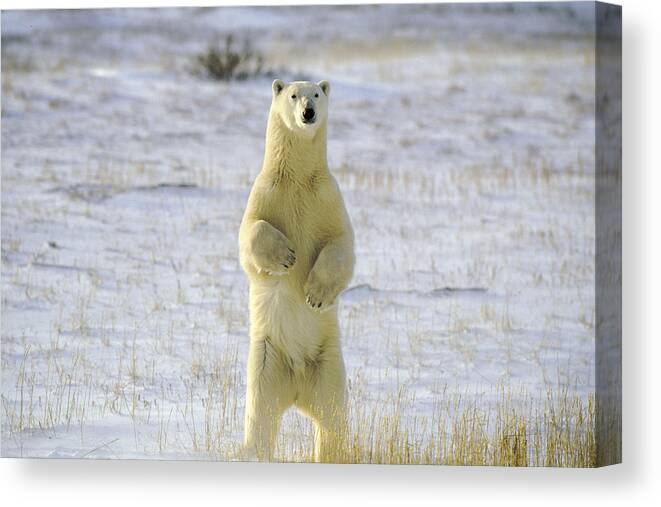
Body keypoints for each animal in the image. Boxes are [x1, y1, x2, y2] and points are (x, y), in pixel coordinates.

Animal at [238, 77, 356, 462]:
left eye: (316, 94)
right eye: (293, 95)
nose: (309, 113)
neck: (298, 179)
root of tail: (297, 389)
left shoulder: (328, 197)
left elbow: (342, 244)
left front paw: (315, 295)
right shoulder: (266, 192)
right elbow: (250, 233)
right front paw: (287, 256)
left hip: (328, 364)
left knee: (332, 418)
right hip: (267, 362)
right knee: (260, 416)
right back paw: (251, 451)